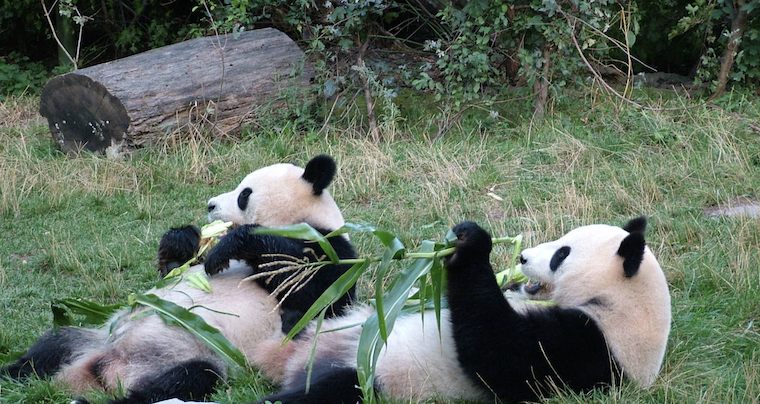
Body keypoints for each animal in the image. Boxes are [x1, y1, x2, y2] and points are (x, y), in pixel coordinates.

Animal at [1, 155, 357, 404]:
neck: (301, 220)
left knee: (184, 380)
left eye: (244, 194)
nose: (210, 205)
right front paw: (182, 239)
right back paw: (11, 373)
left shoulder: (330, 248)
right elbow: (173, 269)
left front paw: (234, 243)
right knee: (50, 347)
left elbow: (315, 296)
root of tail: (99, 369)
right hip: (95, 337)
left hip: (188, 355)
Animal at [259, 217, 671, 403]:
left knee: (325, 392)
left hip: (375, 378)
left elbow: (497, 353)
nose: (522, 257)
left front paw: (470, 244)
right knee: (323, 298)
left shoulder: (589, 348)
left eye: (561, 254)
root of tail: (295, 362)